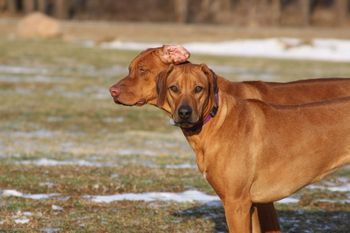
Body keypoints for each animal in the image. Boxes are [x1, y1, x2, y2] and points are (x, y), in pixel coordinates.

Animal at [110, 46, 350, 233]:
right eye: (173, 88)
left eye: (142, 70)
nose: (112, 91)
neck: (214, 119)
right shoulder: (252, 204)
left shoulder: (237, 204)